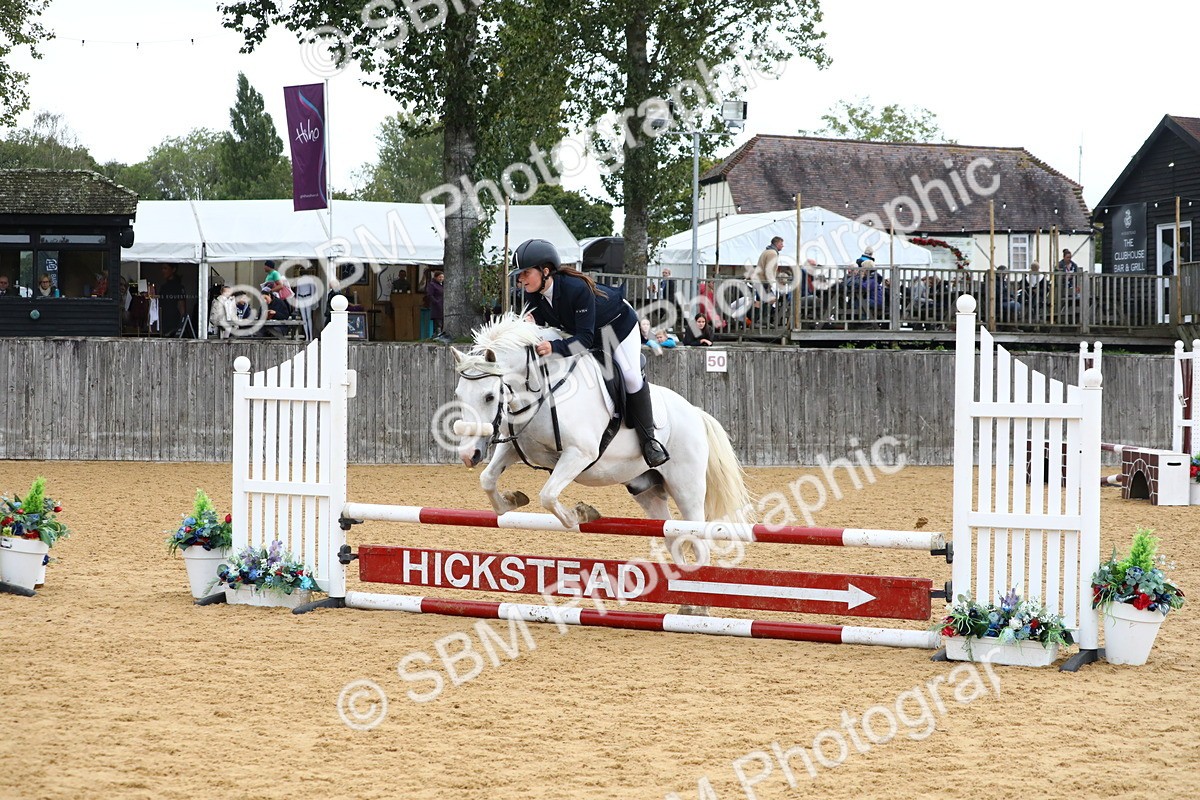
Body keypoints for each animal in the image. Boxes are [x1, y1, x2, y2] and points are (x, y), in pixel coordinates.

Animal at [450, 313, 753, 540]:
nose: (468, 455)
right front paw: (511, 501)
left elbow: (548, 495)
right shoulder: (516, 448)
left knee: (696, 532)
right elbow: (488, 480)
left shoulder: (579, 454)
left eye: (489, 396)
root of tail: (696, 413)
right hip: (647, 488)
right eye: (458, 394)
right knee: (672, 533)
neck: (544, 389)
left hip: (687, 487)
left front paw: (581, 514)